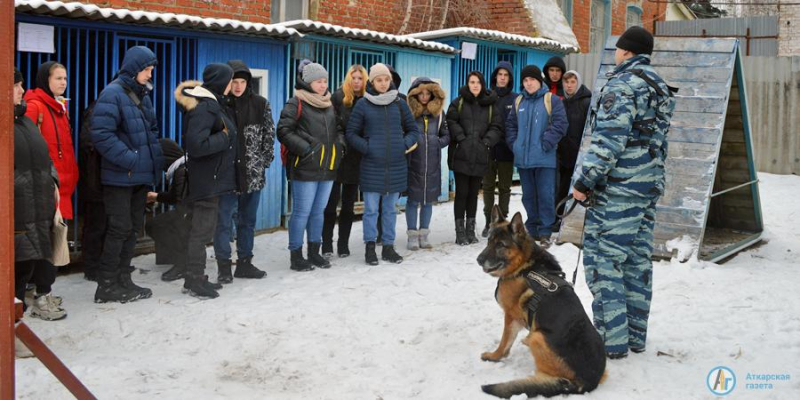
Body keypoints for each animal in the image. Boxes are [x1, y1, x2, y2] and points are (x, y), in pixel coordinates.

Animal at [476, 206, 608, 396]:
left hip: (537, 336)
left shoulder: (510, 316)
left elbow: (504, 342)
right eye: (489, 241)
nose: (479, 260)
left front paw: (494, 356)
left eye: (500, 245)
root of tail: (588, 382)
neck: (523, 264)